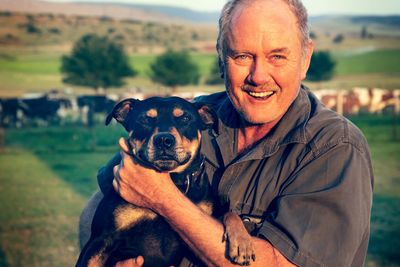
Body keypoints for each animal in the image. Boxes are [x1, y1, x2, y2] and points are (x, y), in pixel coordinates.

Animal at [76, 97, 255, 267]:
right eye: (145, 119)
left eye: (185, 118)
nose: (163, 140)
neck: (174, 179)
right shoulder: (100, 239)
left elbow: (230, 213)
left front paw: (243, 243)